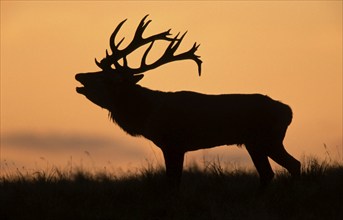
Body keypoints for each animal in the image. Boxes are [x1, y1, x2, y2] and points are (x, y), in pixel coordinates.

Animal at [75, 15, 300, 187]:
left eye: (105, 78)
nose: (79, 76)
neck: (148, 114)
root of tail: (288, 111)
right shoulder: (176, 146)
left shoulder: (173, 143)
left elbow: (172, 181)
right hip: (254, 143)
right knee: (269, 173)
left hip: (267, 139)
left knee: (293, 165)